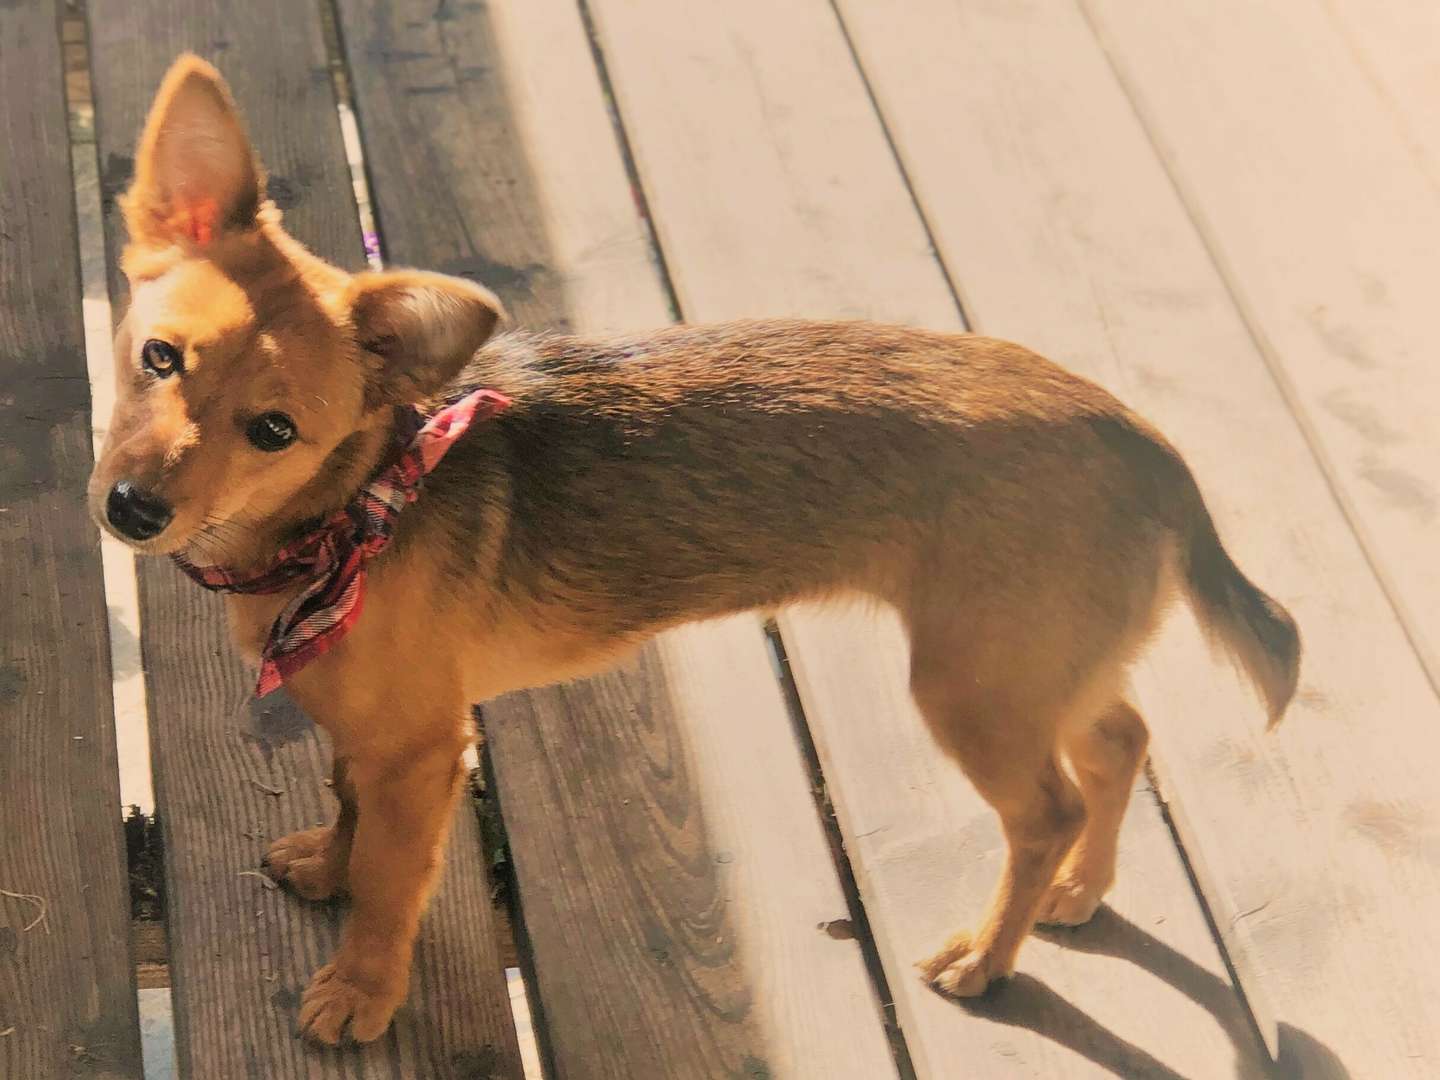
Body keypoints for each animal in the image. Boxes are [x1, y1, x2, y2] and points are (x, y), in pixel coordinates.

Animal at [90, 57, 1307, 1048]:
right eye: (158, 357)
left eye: (274, 431)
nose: (132, 509)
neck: (354, 508)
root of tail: (1144, 440)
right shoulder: (373, 733)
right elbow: (346, 805)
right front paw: (329, 868)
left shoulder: (423, 752)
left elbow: (393, 888)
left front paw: (360, 991)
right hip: (1043, 665)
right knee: (1120, 741)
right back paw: (1083, 888)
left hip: (977, 687)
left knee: (1047, 807)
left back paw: (988, 957)